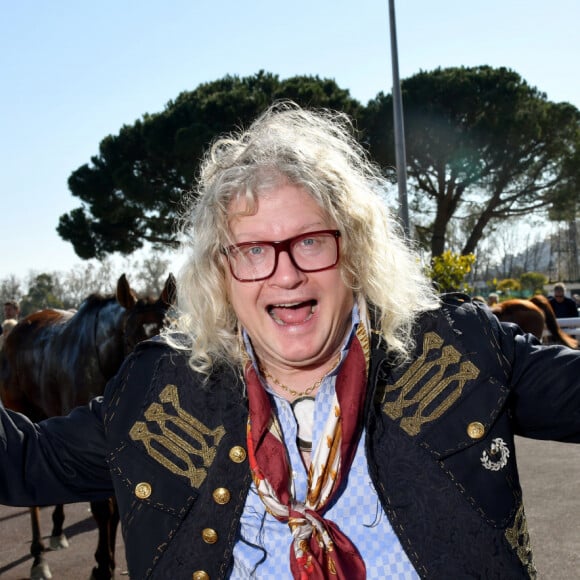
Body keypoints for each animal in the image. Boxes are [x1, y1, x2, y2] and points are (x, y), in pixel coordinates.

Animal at [0, 274, 177, 580]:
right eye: (131, 340)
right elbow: (103, 509)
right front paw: (103, 566)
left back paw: (57, 531)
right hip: (24, 411)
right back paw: (38, 557)